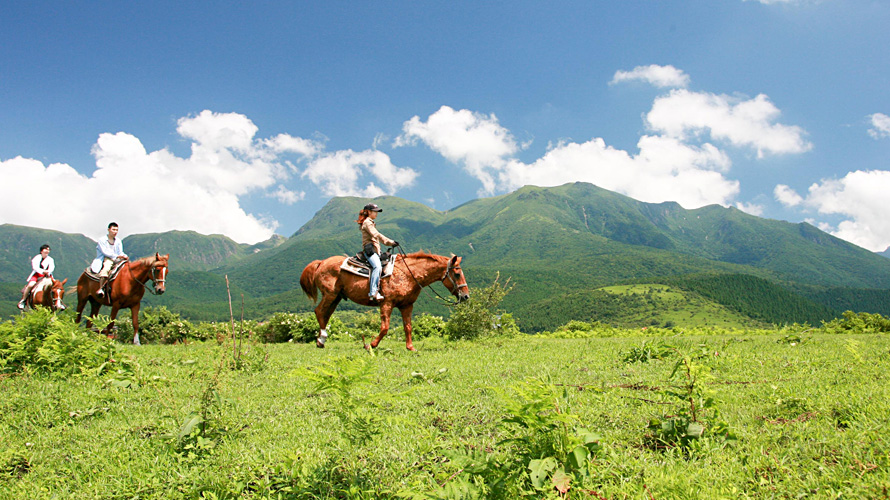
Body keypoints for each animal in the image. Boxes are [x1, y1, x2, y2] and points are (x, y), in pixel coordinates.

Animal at [298, 250, 468, 352]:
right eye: (457, 274)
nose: (466, 296)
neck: (408, 273)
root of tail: (321, 262)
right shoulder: (387, 303)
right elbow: (385, 327)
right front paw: (371, 345)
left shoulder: (407, 305)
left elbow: (408, 327)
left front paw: (410, 347)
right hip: (330, 294)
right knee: (319, 311)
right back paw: (321, 339)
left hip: (336, 297)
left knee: (325, 314)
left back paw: (320, 340)